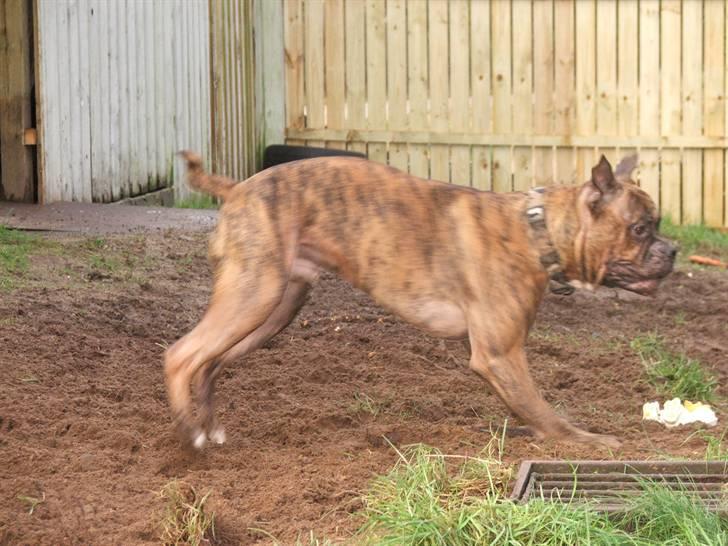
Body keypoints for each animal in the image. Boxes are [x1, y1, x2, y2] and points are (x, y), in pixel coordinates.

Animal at [165, 151, 676, 448]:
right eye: (639, 229)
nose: (672, 250)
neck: (538, 230)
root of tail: (237, 189)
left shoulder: (500, 360)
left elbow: (526, 408)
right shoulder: (500, 354)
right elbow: (546, 412)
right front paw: (586, 441)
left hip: (276, 308)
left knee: (210, 362)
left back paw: (208, 428)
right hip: (255, 294)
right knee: (182, 355)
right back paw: (188, 432)